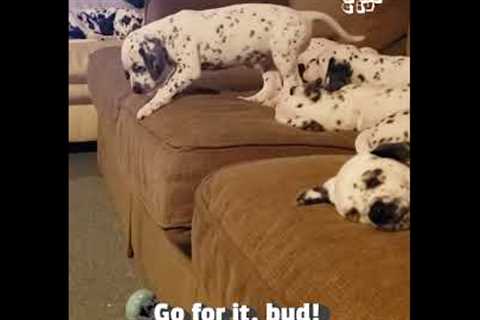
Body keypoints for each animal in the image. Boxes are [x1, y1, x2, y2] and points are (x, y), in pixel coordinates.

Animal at [120, 3, 364, 120]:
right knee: (272, 83)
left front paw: (148, 107)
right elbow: (167, 85)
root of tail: (304, 15)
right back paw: (256, 99)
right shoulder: (179, 69)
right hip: (265, 60)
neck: (169, 32)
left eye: (139, 67)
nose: (135, 90)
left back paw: (276, 103)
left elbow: (165, 89)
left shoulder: (188, 69)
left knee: (292, 84)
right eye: (127, 74)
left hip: (283, 56)